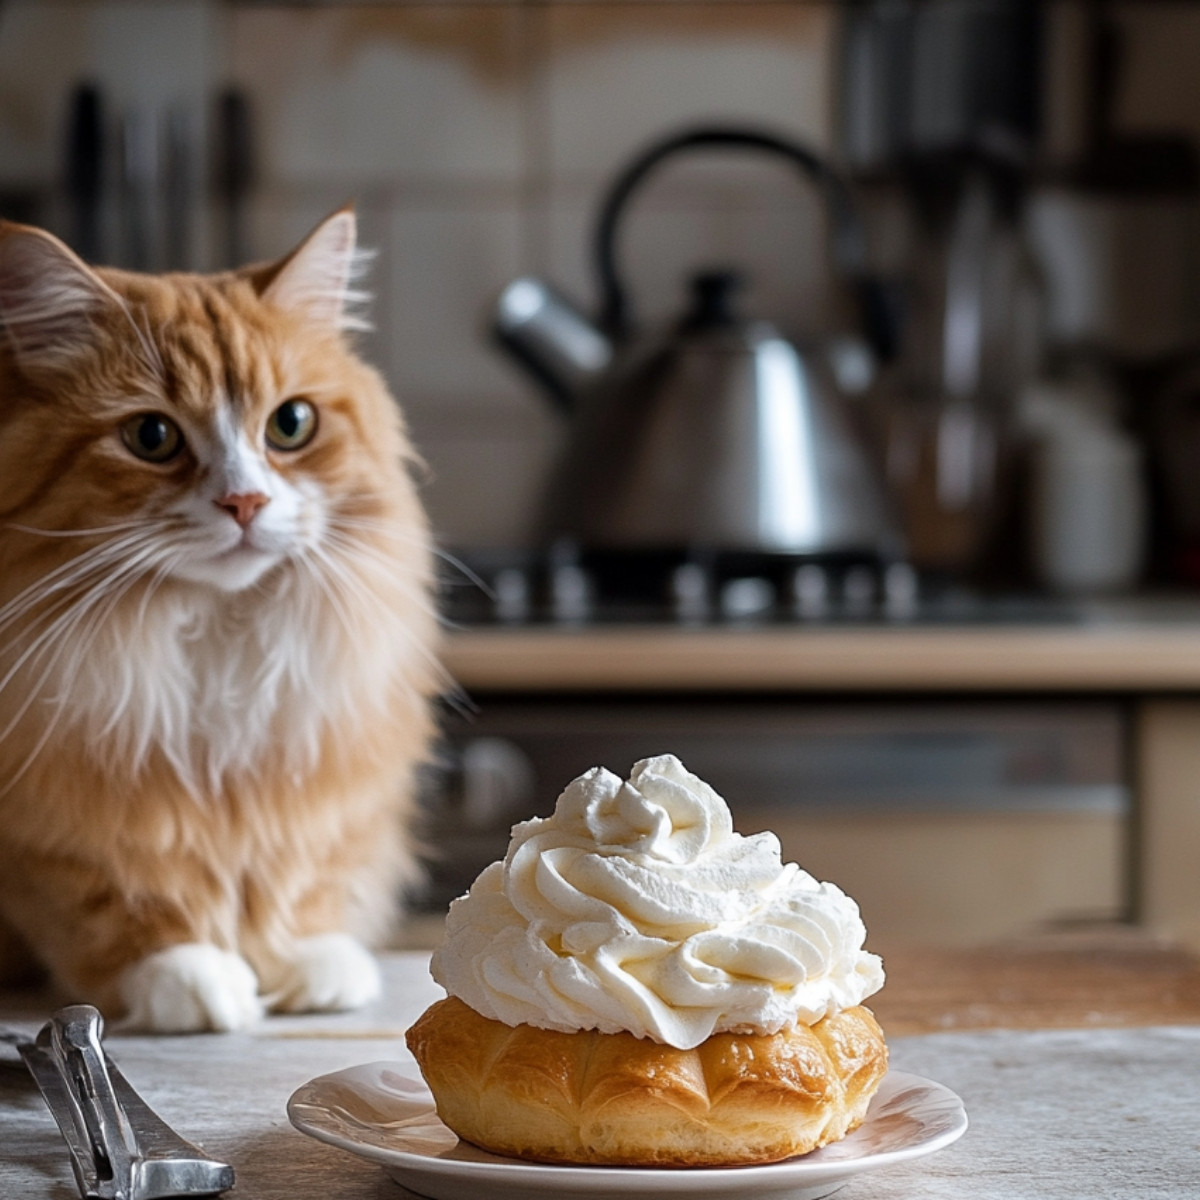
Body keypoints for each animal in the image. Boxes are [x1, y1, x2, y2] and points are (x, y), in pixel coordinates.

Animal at [0, 206, 441, 1032]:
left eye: (290, 425)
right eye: (152, 437)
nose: (245, 501)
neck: (214, 638)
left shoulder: (324, 778)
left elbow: (308, 877)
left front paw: (308, 963)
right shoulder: (55, 826)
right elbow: (109, 901)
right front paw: (185, 977)